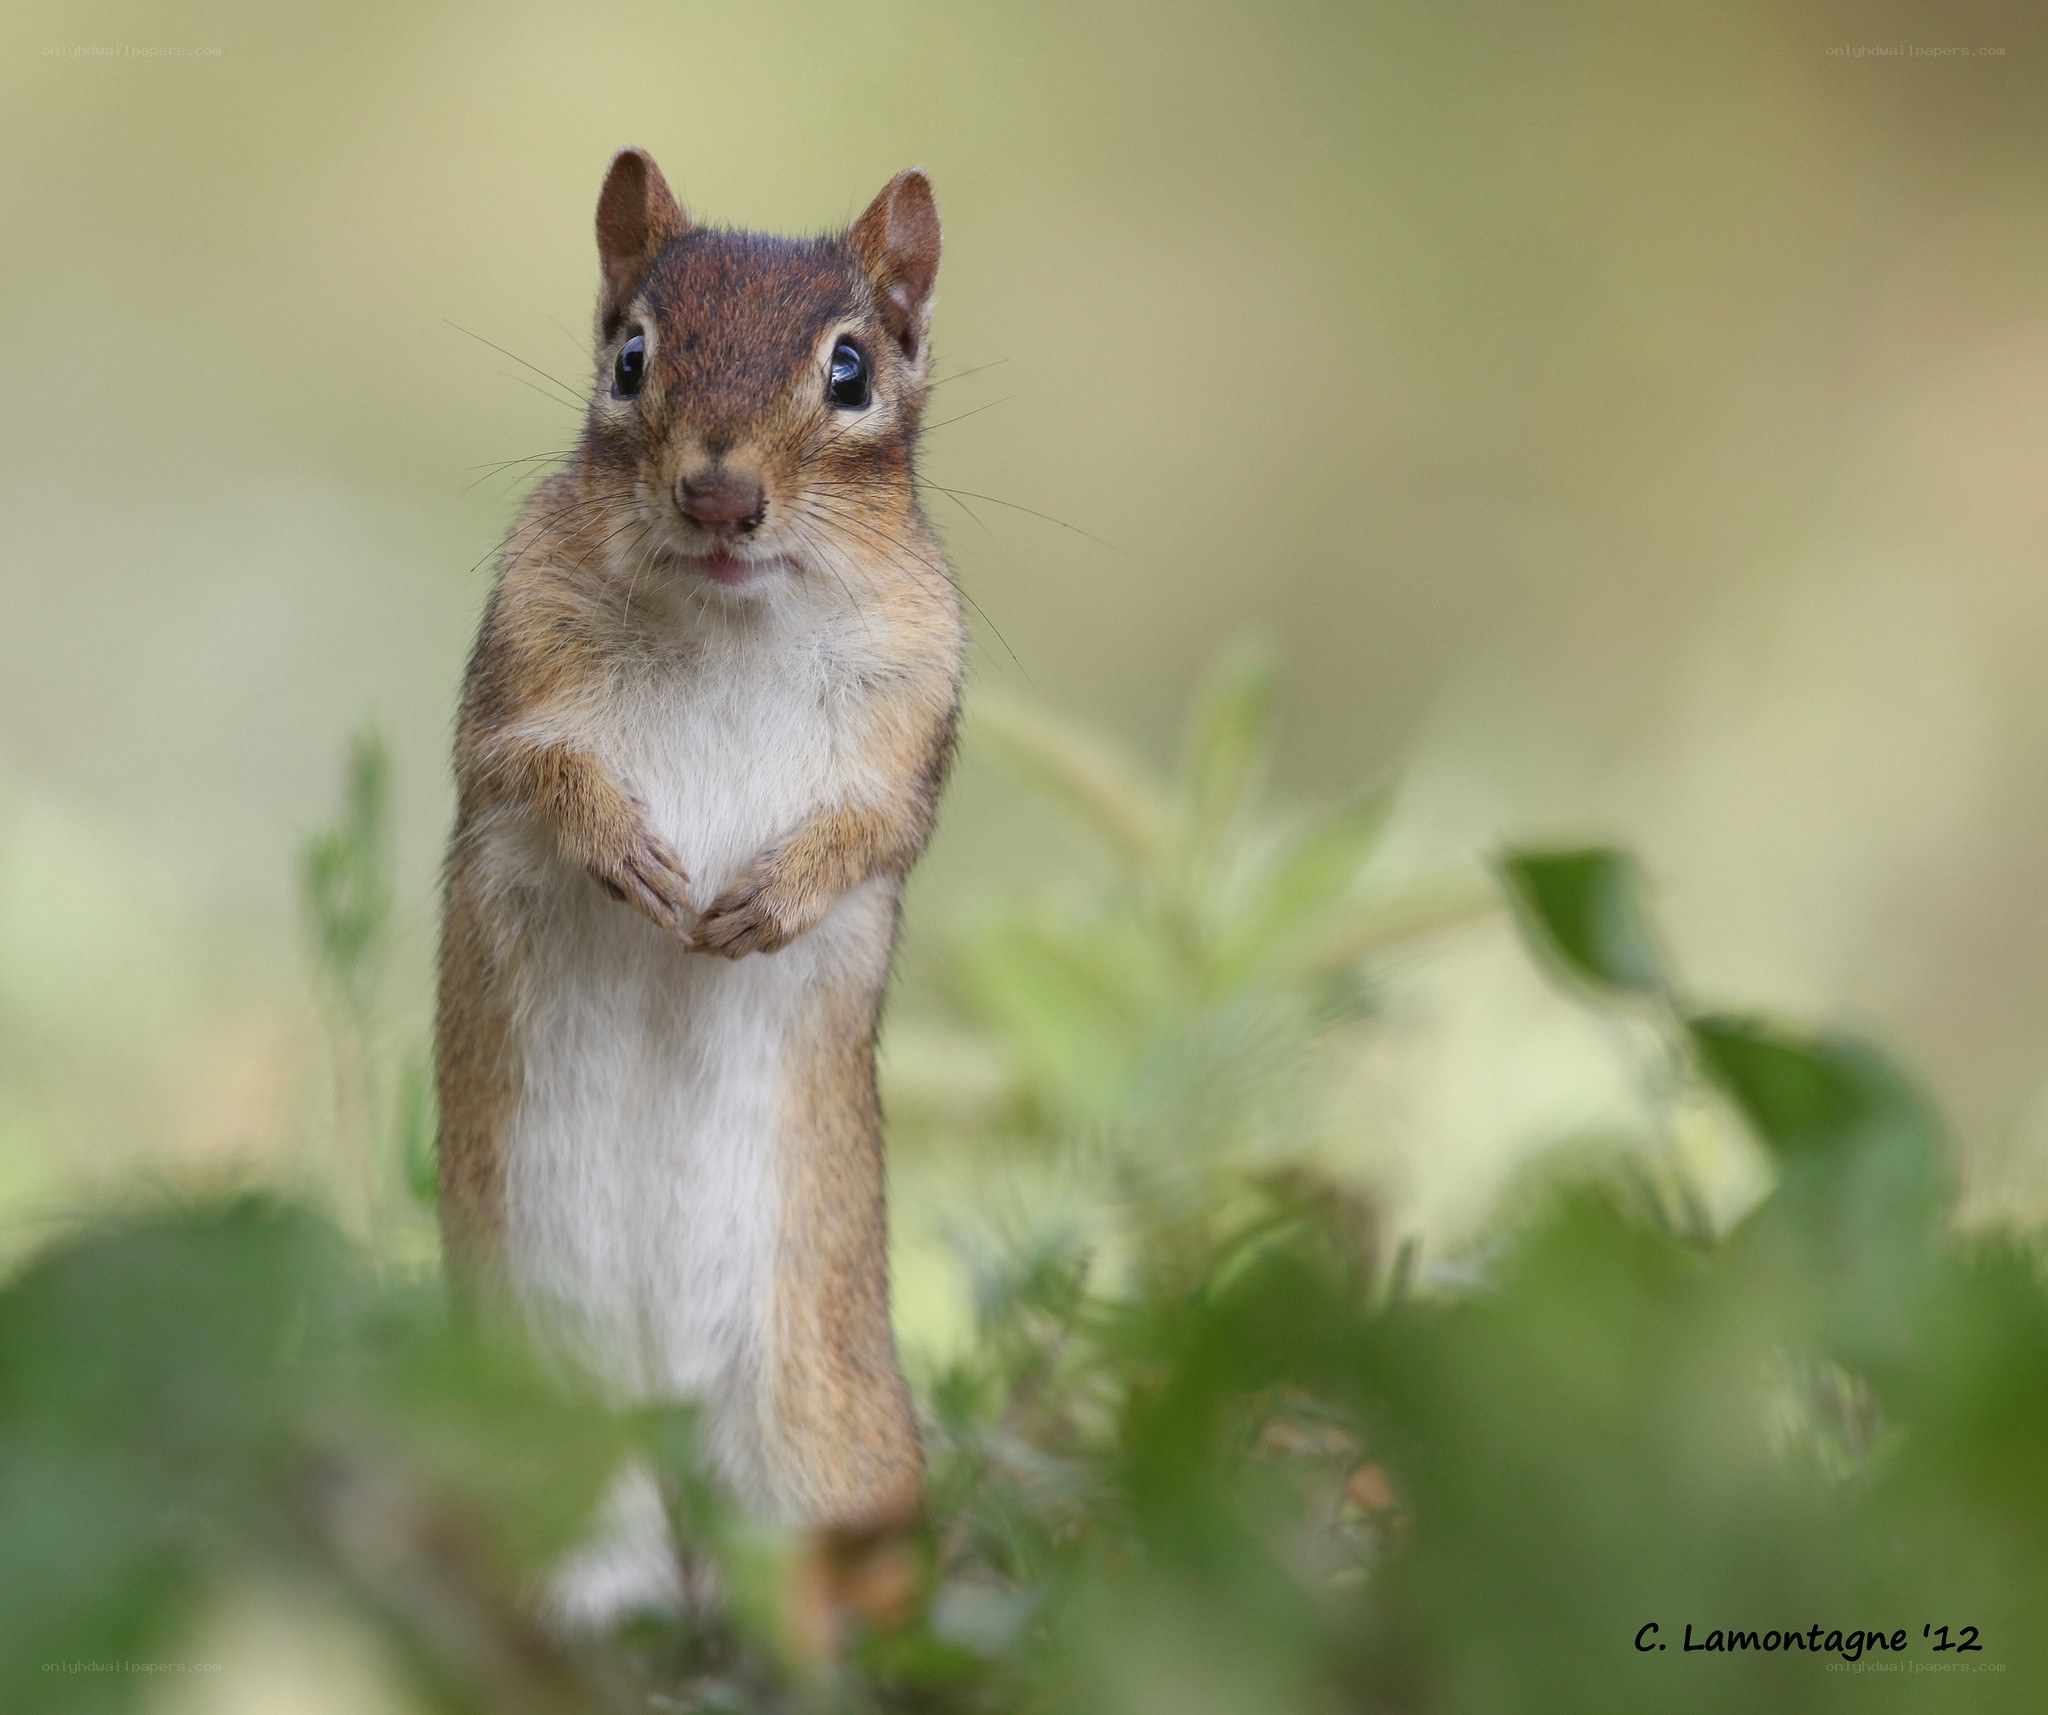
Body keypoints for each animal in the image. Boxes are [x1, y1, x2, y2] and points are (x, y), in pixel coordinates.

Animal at [434, 147, 962, 1623]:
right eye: (629, 356)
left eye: (850, 370)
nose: (721, 496)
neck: (731, 618)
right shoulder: (510, 683)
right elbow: (533, 768)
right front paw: (625, 850)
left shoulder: (917, 716)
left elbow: (875, 829)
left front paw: (768, 900)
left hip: (822, 1432)